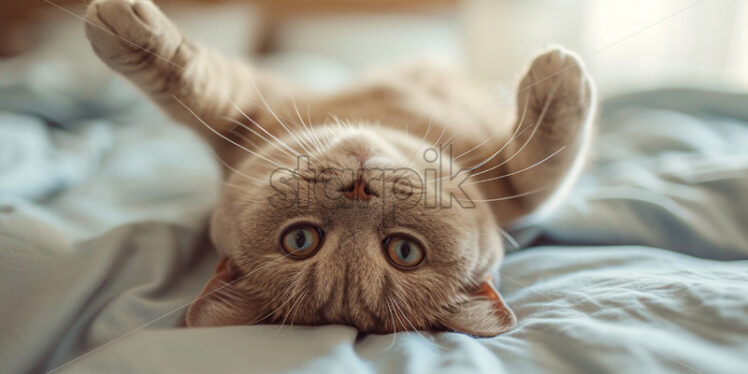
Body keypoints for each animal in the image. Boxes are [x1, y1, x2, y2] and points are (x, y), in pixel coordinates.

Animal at [83, 0, 596, 338]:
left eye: (404, 251)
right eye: (301, 241)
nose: (359, 189)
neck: (387, 123)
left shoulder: (512, 192)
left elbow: (545, 167)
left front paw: (558, 77)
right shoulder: (247, 115)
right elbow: (189, 82)